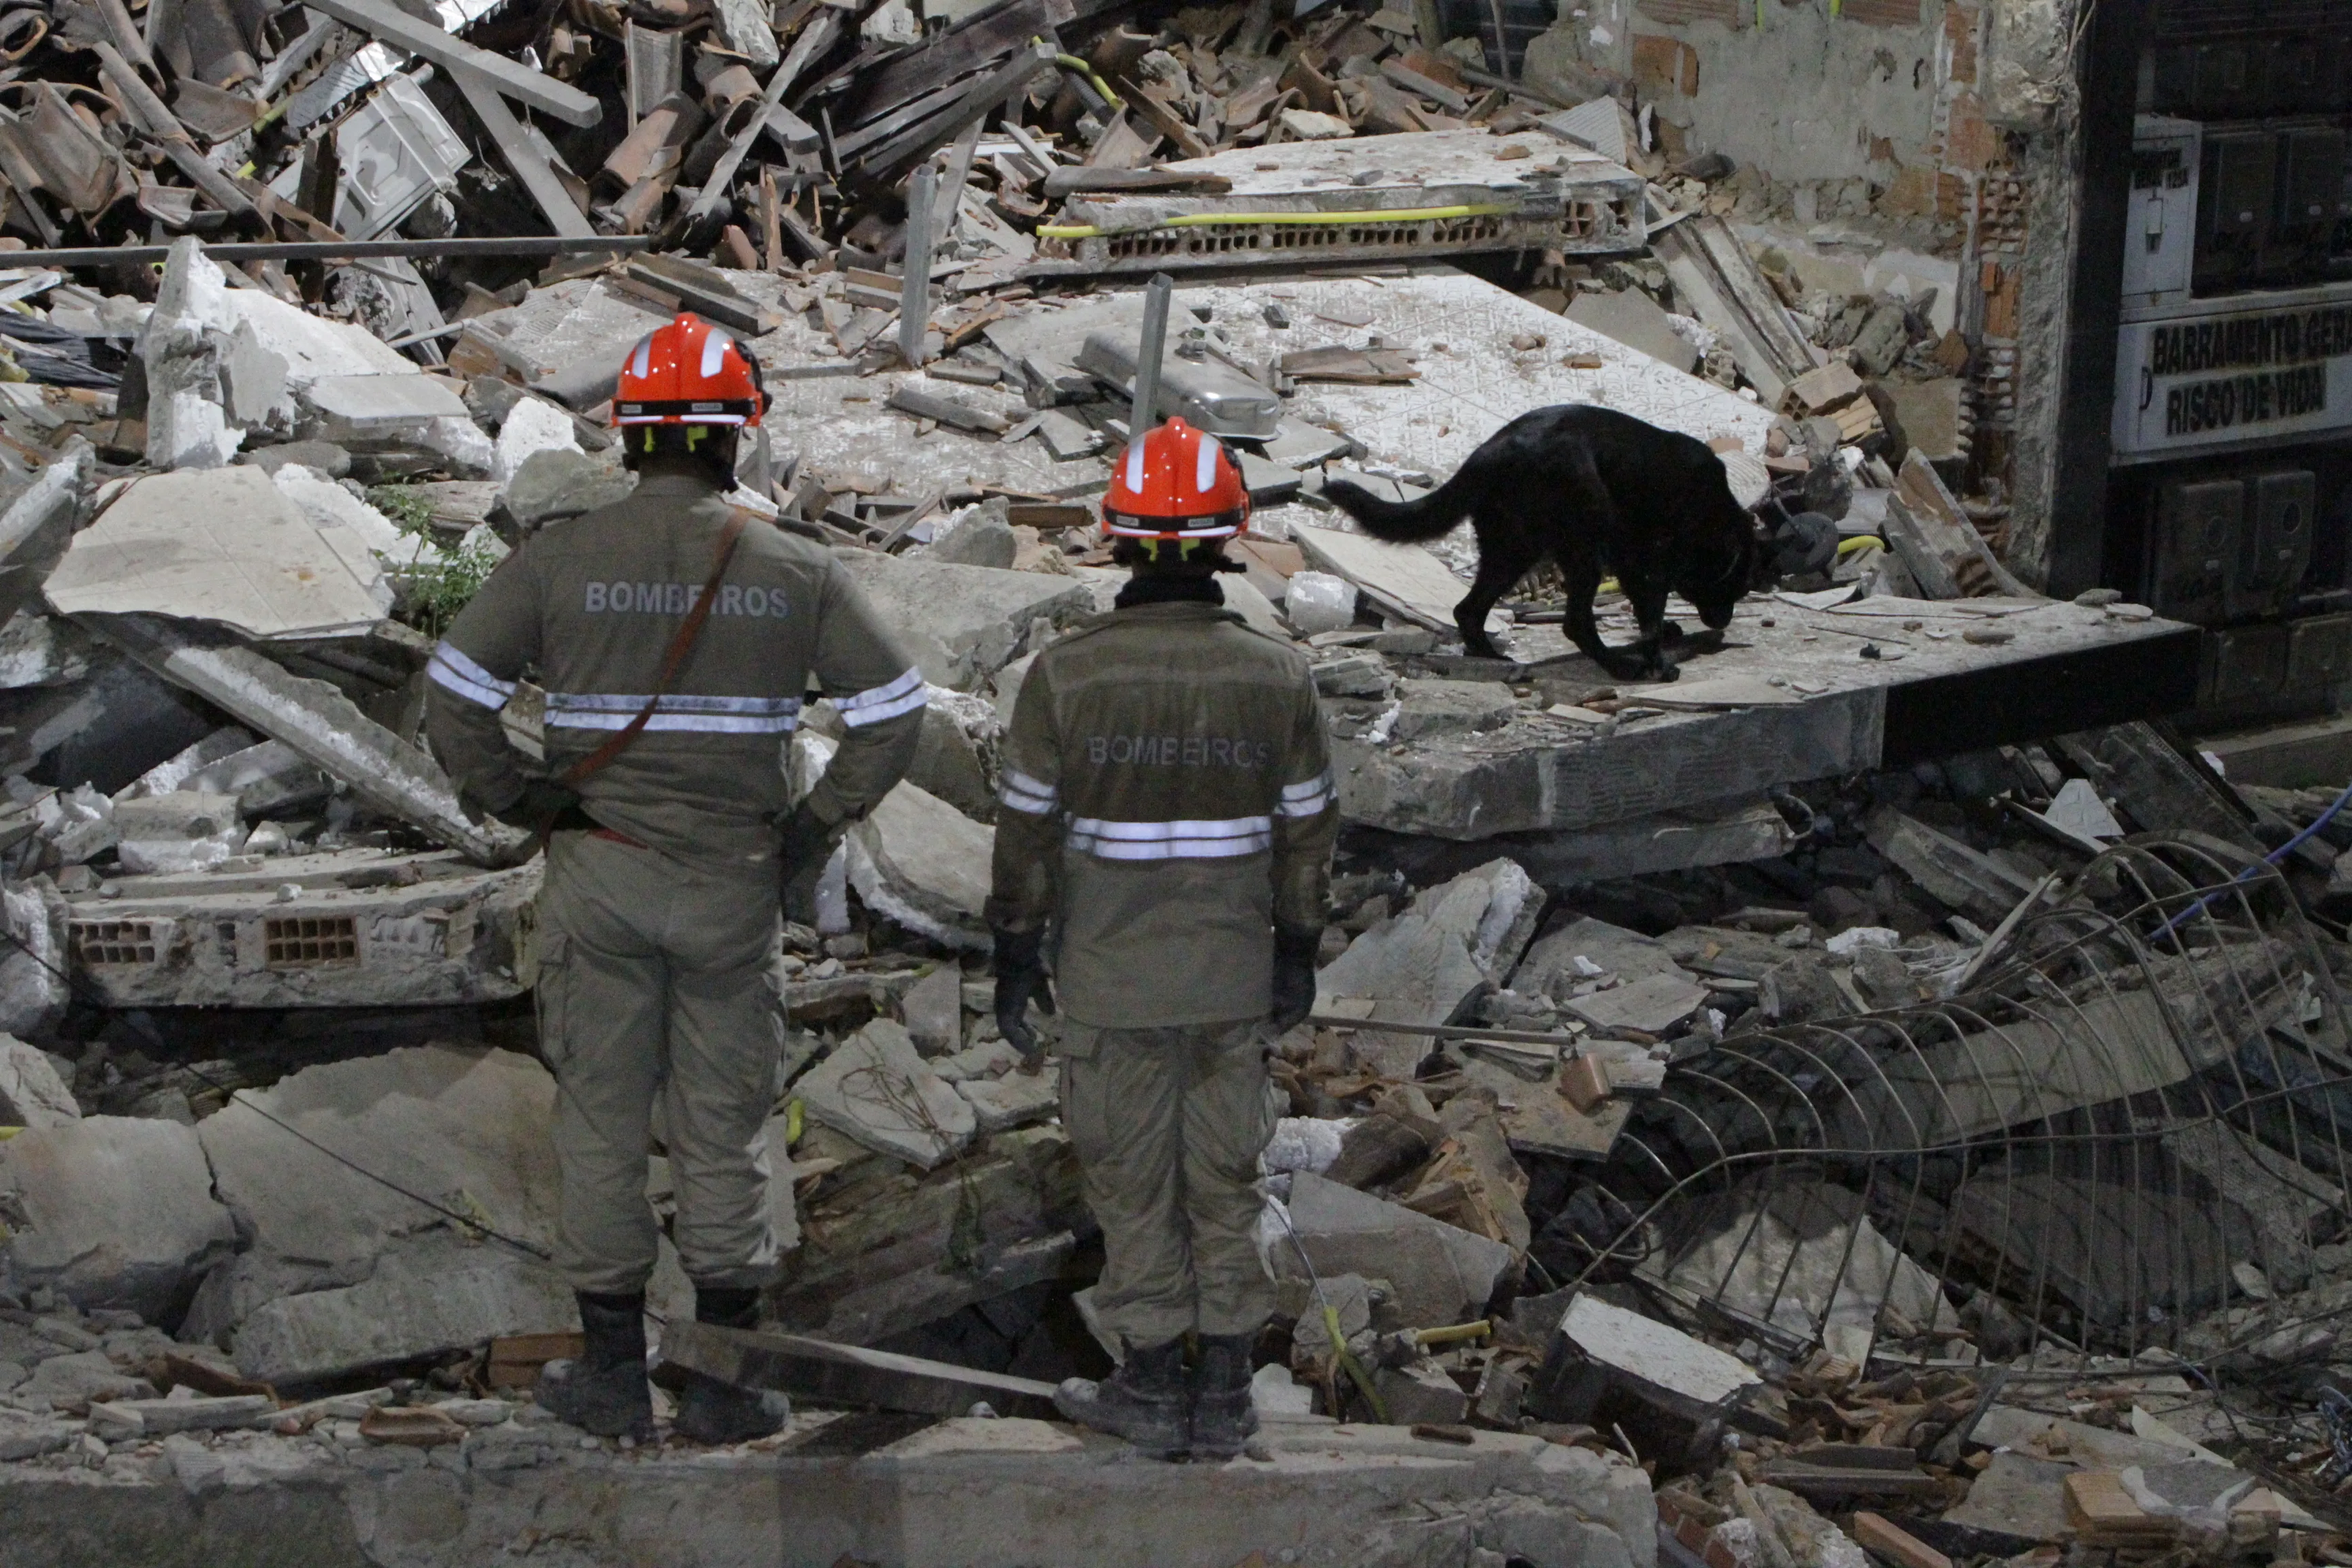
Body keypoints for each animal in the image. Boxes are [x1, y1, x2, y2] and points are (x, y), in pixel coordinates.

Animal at [1326, 404, 1768, 681]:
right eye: (1740, 586)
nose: (1724, 622)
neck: (1713, 513)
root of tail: (1488, 455)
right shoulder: (1650, 569)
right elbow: (1652, 625)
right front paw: (1658, 664)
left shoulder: (1633, 566)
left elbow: (1650, 624)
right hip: (1579, 549)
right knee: (1576, 622)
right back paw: (1618, 668)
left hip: (1511, 549)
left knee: (1468, 609)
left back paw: (1490, 657)